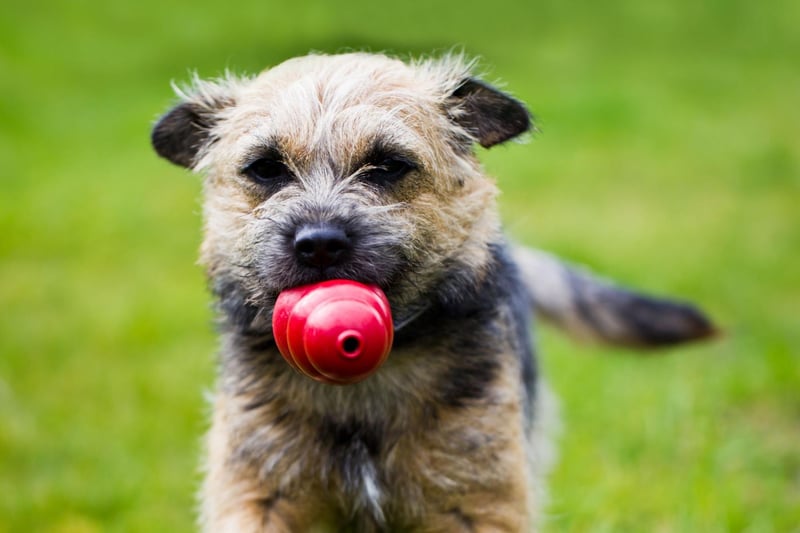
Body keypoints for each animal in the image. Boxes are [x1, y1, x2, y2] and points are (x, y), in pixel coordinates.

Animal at [153, 51, 716, 532]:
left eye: (387, 165)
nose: (319, 244)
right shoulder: (257, 492)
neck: (363, 390)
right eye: (266, 168)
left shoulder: (479, 497)